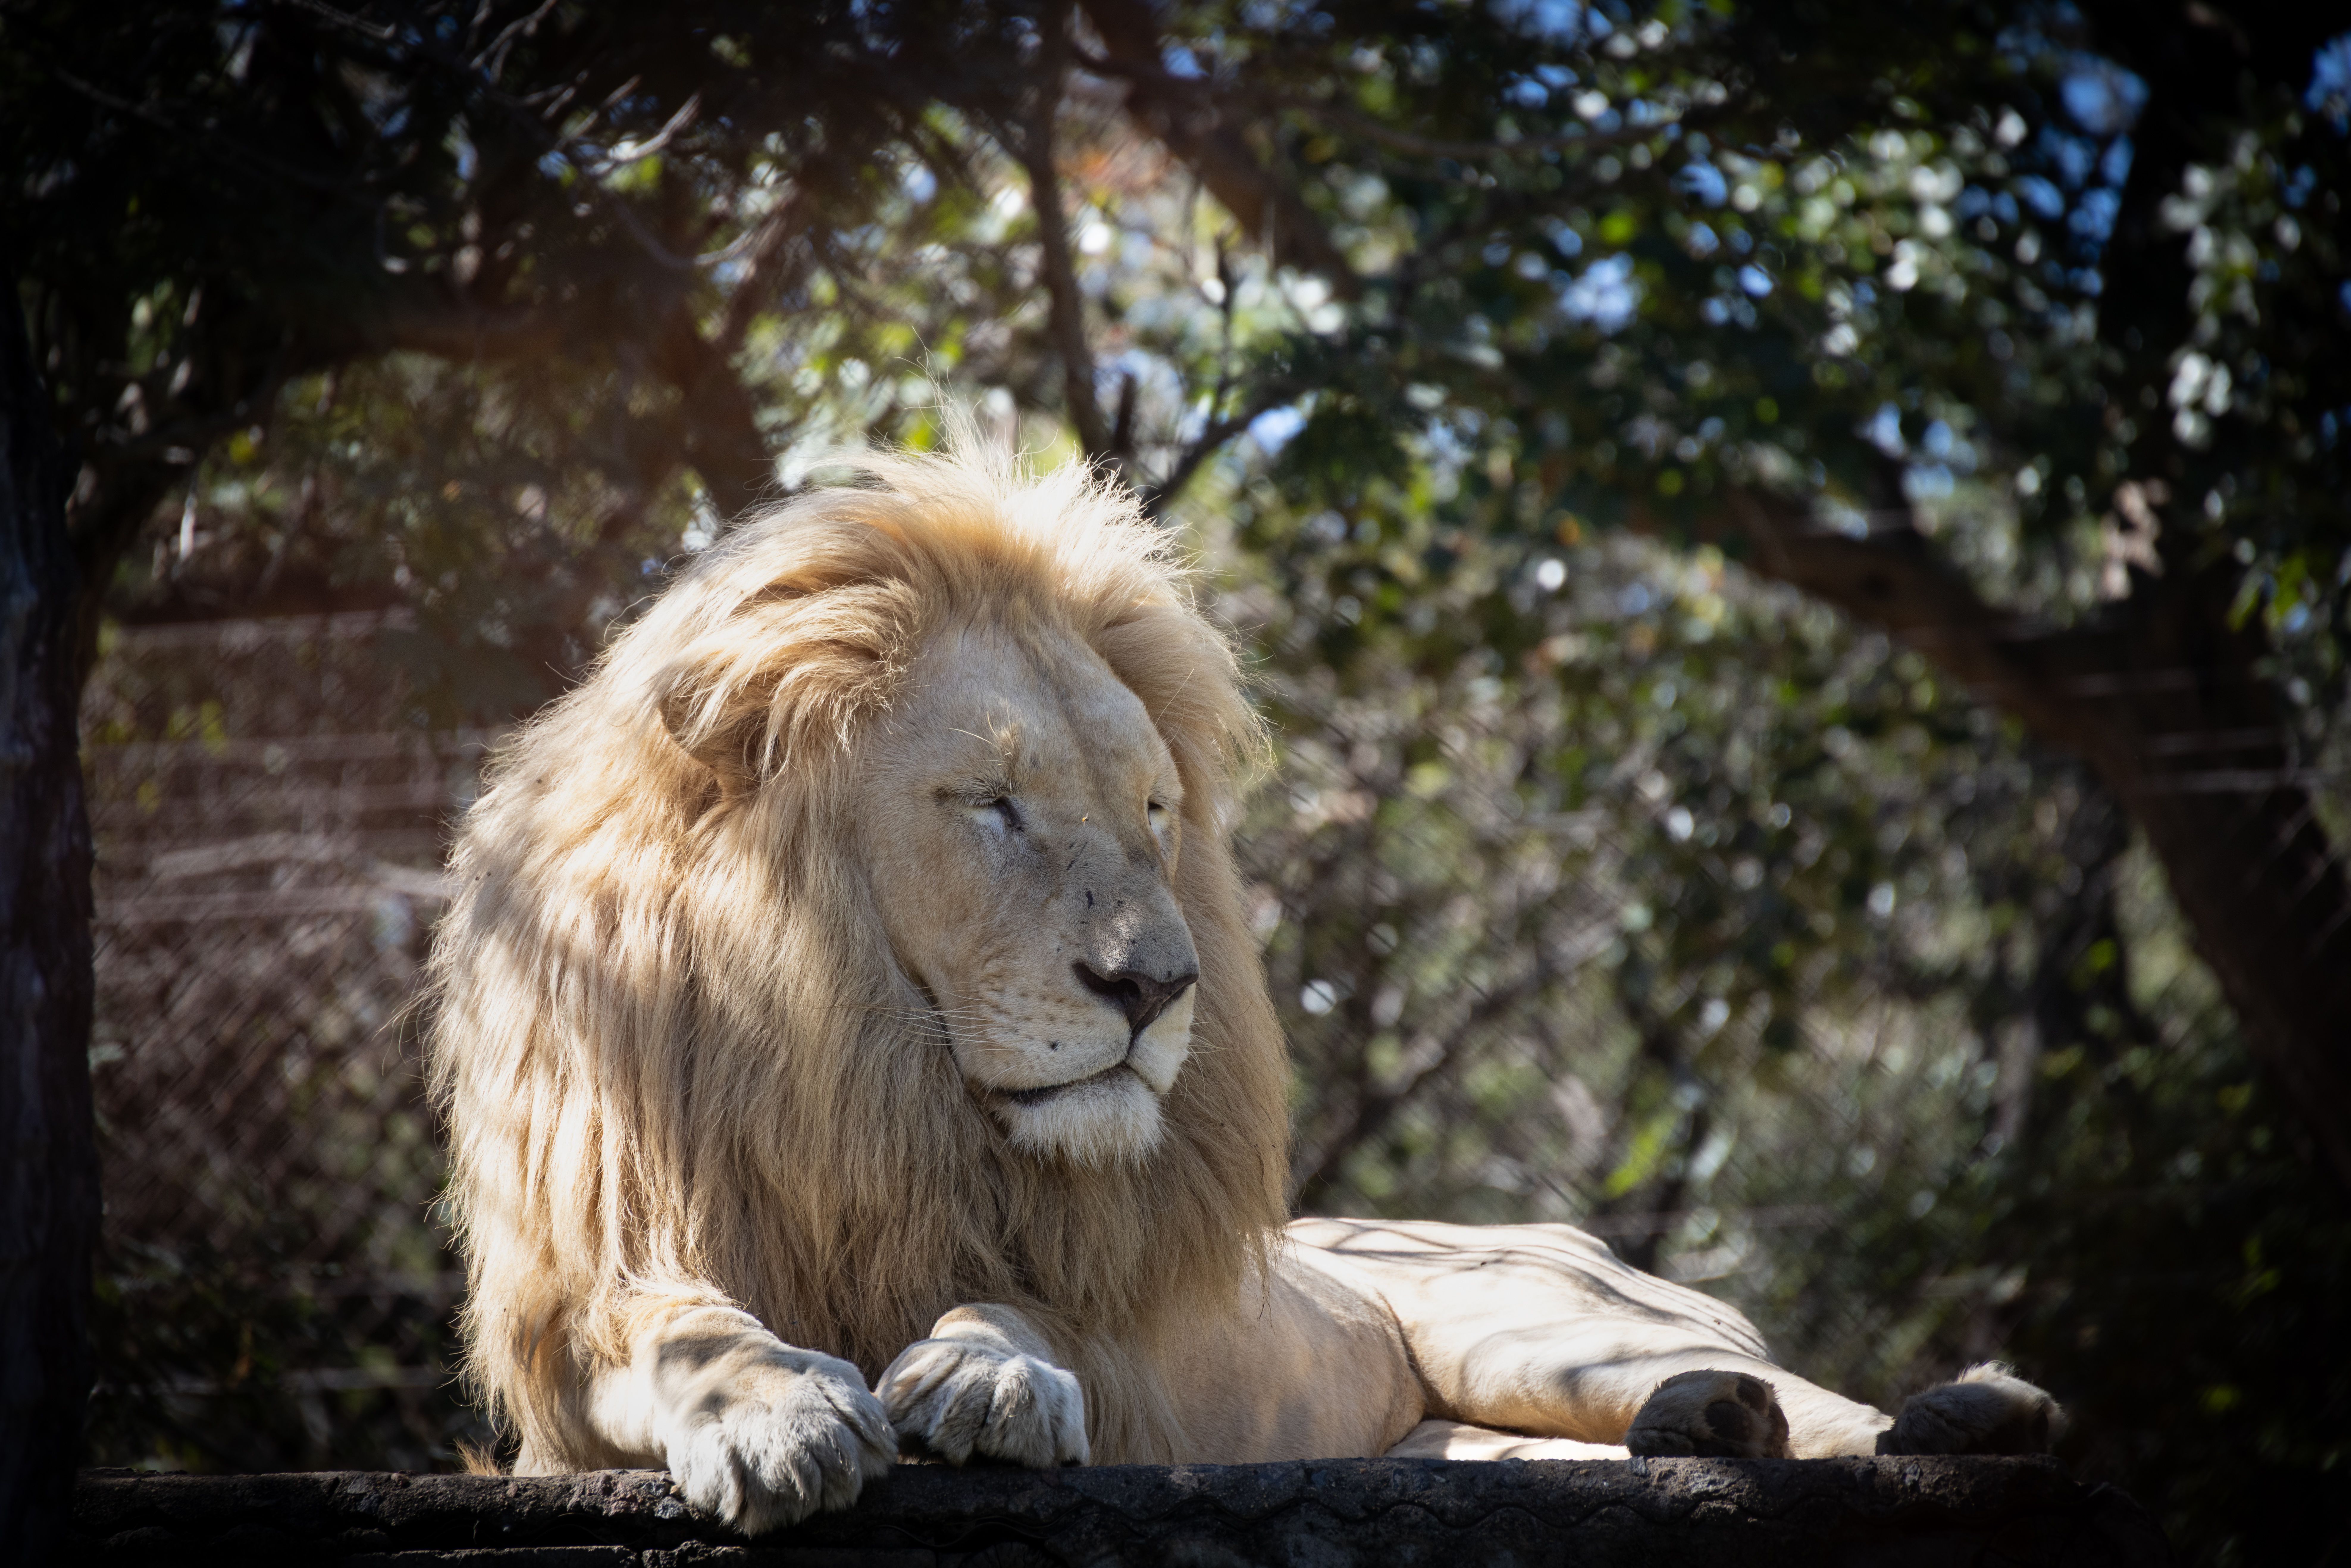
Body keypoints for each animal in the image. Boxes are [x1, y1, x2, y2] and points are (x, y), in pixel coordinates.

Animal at [425, 445, 2059, 1532]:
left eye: (1152, 812)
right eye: (992, 807)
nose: (1156, 985)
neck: (860, 1070)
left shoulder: (1102, 1300)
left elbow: (1011, 1301)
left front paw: (982, 1377)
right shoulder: (574, 1328)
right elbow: (684, 1328)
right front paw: (773, 1410)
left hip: (1534, 1321)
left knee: (1813, 1400)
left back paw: (1954, 1410)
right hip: (1450, 1425)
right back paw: (1711, 1425)